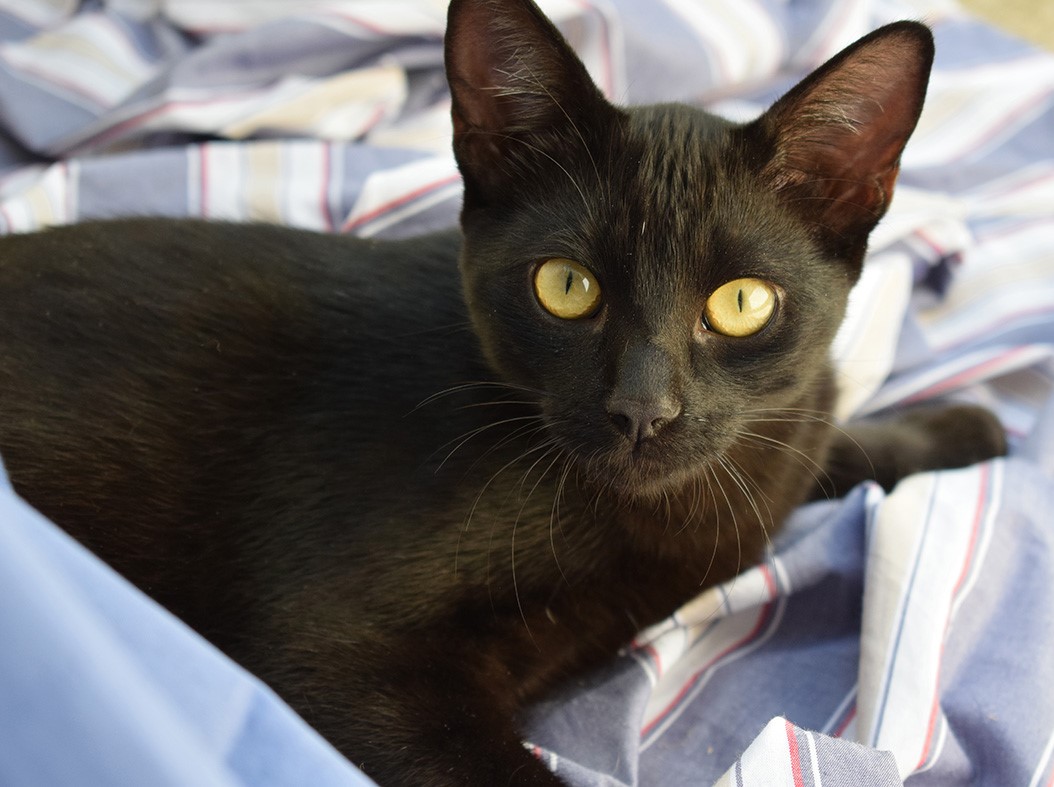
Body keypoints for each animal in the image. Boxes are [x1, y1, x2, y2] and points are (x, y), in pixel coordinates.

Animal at [0, 0, 1003, 783]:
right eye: (566, 286)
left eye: (742, 303)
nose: (643, 411)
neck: (656, 518)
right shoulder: (335, 655)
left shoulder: (768, 445)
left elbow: (815, 437)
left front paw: (957, 428)